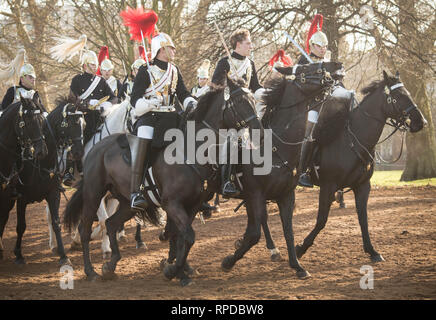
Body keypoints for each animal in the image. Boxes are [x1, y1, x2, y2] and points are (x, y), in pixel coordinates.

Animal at [64, 79, 262, 284]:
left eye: (253, 100)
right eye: (239, 102)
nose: (259, 130)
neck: (191, 151)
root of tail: (95, 148)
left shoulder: (192, 205)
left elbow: (181, 236)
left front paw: (180, 269)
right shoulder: (172, 204)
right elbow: (187, 236)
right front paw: (174, 270)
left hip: (128, 203)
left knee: (111, 223)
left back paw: (110, 266)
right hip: (94, 193)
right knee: (86, 228)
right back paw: (90, 271)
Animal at [294, 70, 428, 262]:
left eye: (408, 93)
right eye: (398, 96)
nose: (421, 122)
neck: (352, 141)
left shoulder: (363, 186)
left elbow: (363, 219)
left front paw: (372, 251)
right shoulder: (328, 186)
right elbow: (321, 220)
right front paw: (300, 248)